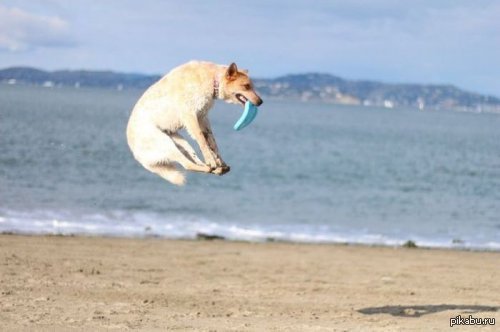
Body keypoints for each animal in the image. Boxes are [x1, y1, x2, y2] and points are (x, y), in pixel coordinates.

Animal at [126, 61, 262, 185]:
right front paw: (212, 160)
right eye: (246, 86)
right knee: (187, 165)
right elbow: (202, 141)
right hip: (165, 142)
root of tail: (135, 154)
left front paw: (219, 162)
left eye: (252, 86)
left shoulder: (202, 118)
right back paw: (210, 167)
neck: (213, 79)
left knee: (193, 160)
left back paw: (215, 169)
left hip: (181, 143)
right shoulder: (190, 116)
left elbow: (212, 143)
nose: (261, 102)